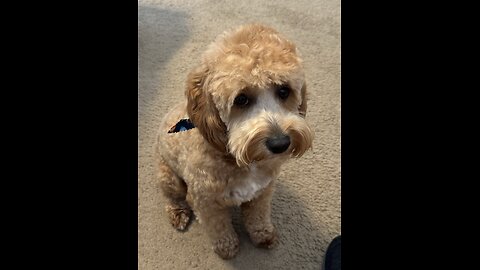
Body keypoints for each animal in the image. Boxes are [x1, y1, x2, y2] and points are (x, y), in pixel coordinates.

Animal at [155, 23, 316, 260]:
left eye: (284, 90)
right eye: (241, 99)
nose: (280, 144)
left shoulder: (262, 192)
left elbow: (258, 216)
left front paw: (263, 234)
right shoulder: (206, 202)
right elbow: (219, 227)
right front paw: (227, 247)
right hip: (169, 177)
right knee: (172, 198)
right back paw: (178, 212)